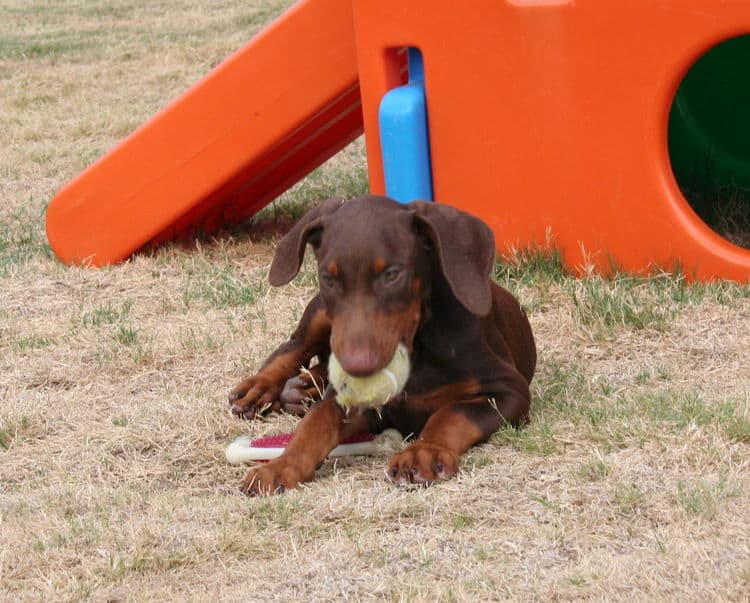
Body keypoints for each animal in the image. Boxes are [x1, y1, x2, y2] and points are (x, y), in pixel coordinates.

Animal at [228, 196, 536, 498]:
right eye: (329, 278)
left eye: (392, 274)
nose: (357, 366)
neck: (417, 349)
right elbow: (316, 421)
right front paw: (281, 465)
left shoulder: (509, 390)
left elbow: (451, 414)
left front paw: (423, 452)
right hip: (320, 313)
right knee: (294, 346)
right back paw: (261, 389)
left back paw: (301, 388)